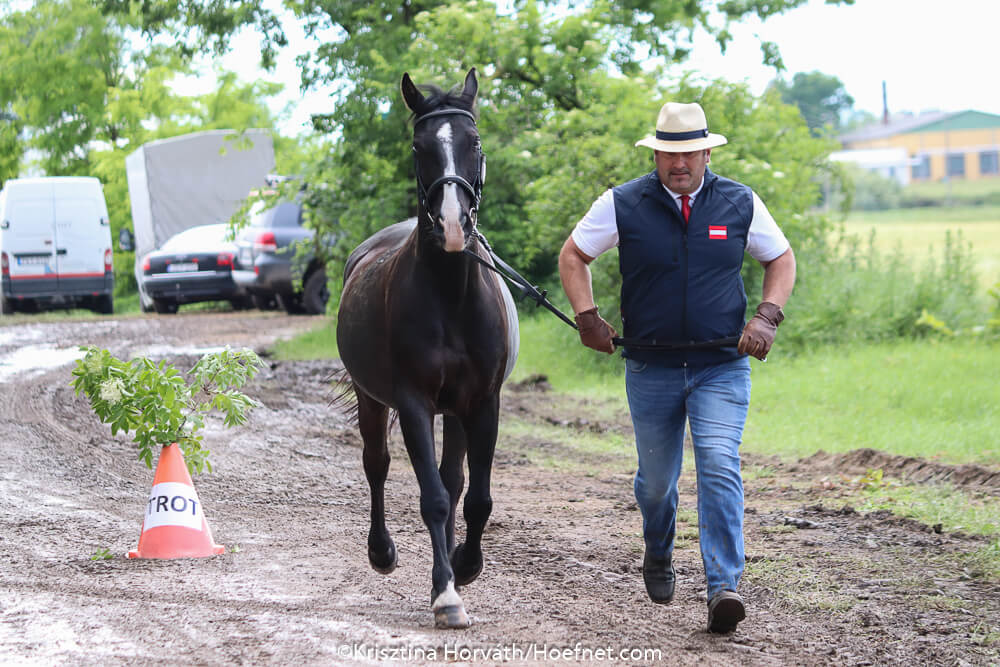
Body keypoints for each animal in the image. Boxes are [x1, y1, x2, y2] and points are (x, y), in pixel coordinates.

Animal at [335, 68, 519, 629]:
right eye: (419, 147)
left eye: (473, 141)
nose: (454, 225)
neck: (451, 296)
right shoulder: (414, 402)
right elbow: (433, 498)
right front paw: (446, 594)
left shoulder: (482, 403)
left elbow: (474, 497)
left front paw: (466, 565)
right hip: (373, 400)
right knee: (377, 464)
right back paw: (382, 552)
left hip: (454, 411)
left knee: (455, 479)